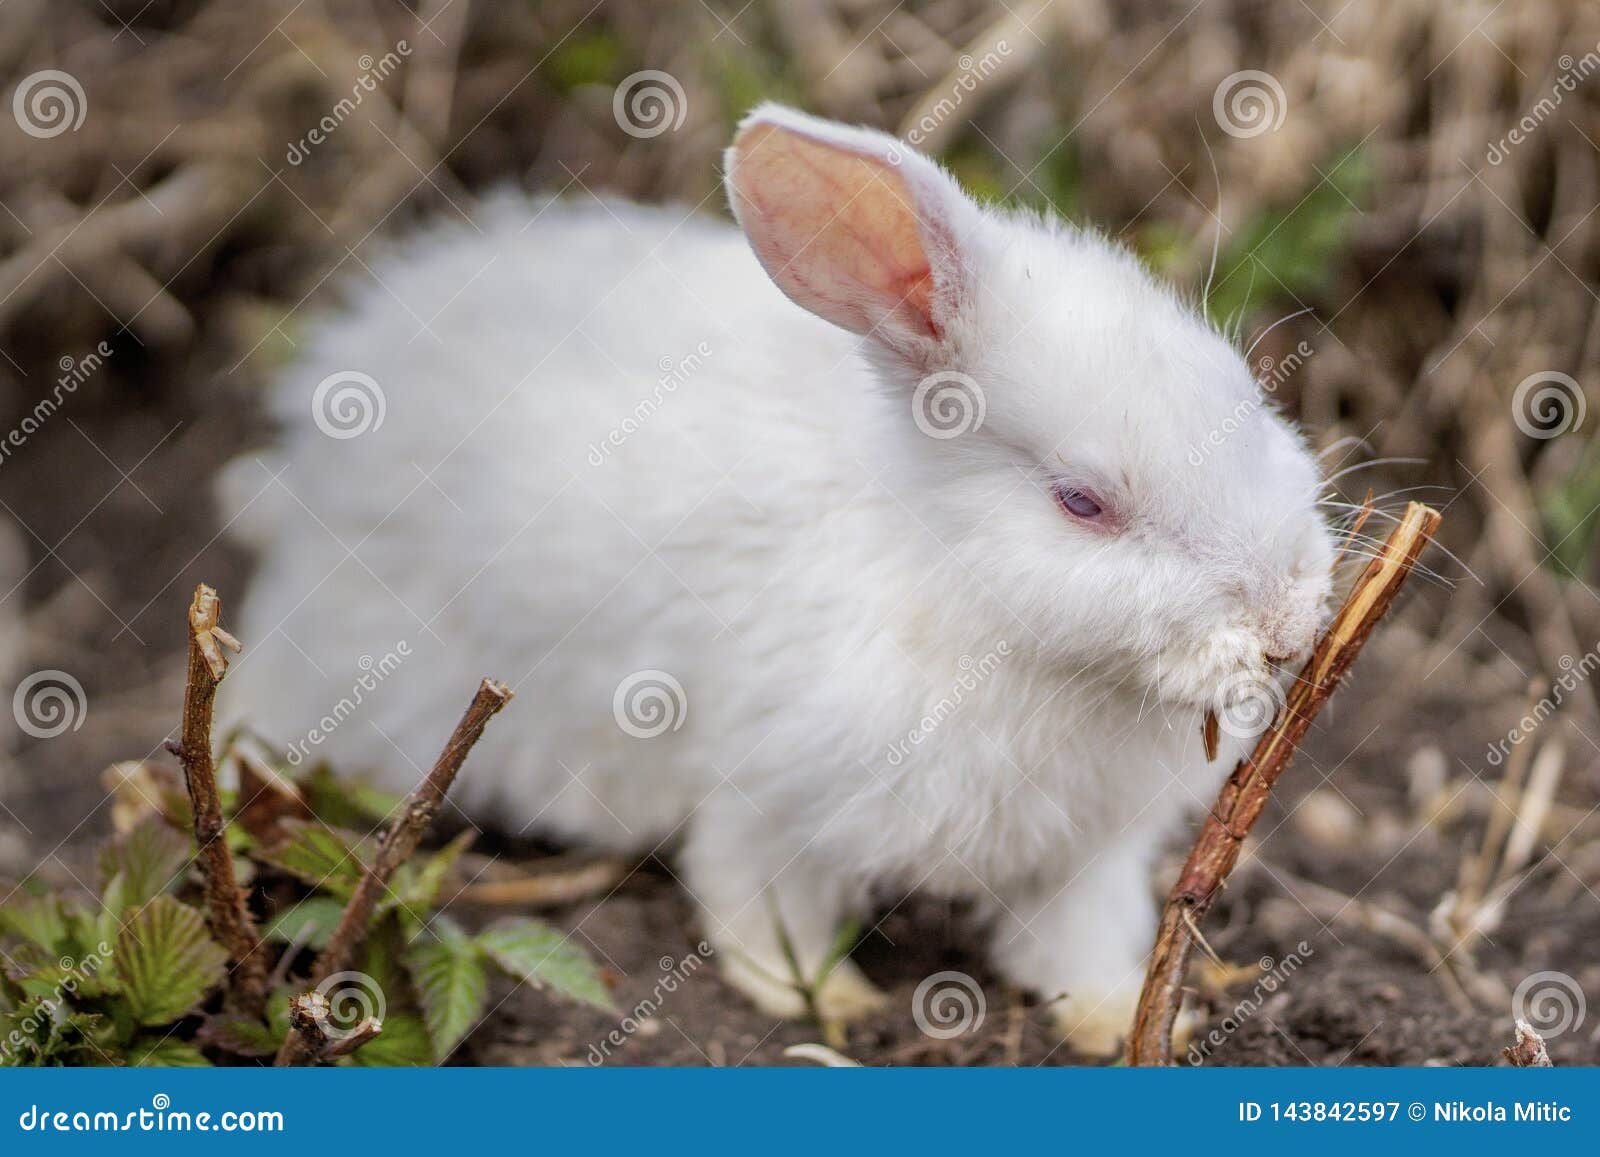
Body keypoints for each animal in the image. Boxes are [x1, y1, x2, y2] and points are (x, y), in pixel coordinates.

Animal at [219, 104, 1331, 1056]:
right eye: (1082, 501)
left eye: (1247, 392)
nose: (1287, 619)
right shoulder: (772, 800)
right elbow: (757, 905)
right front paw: (824, 1001)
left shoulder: (1090, 857)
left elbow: (1080, 941)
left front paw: (1115, 1015)